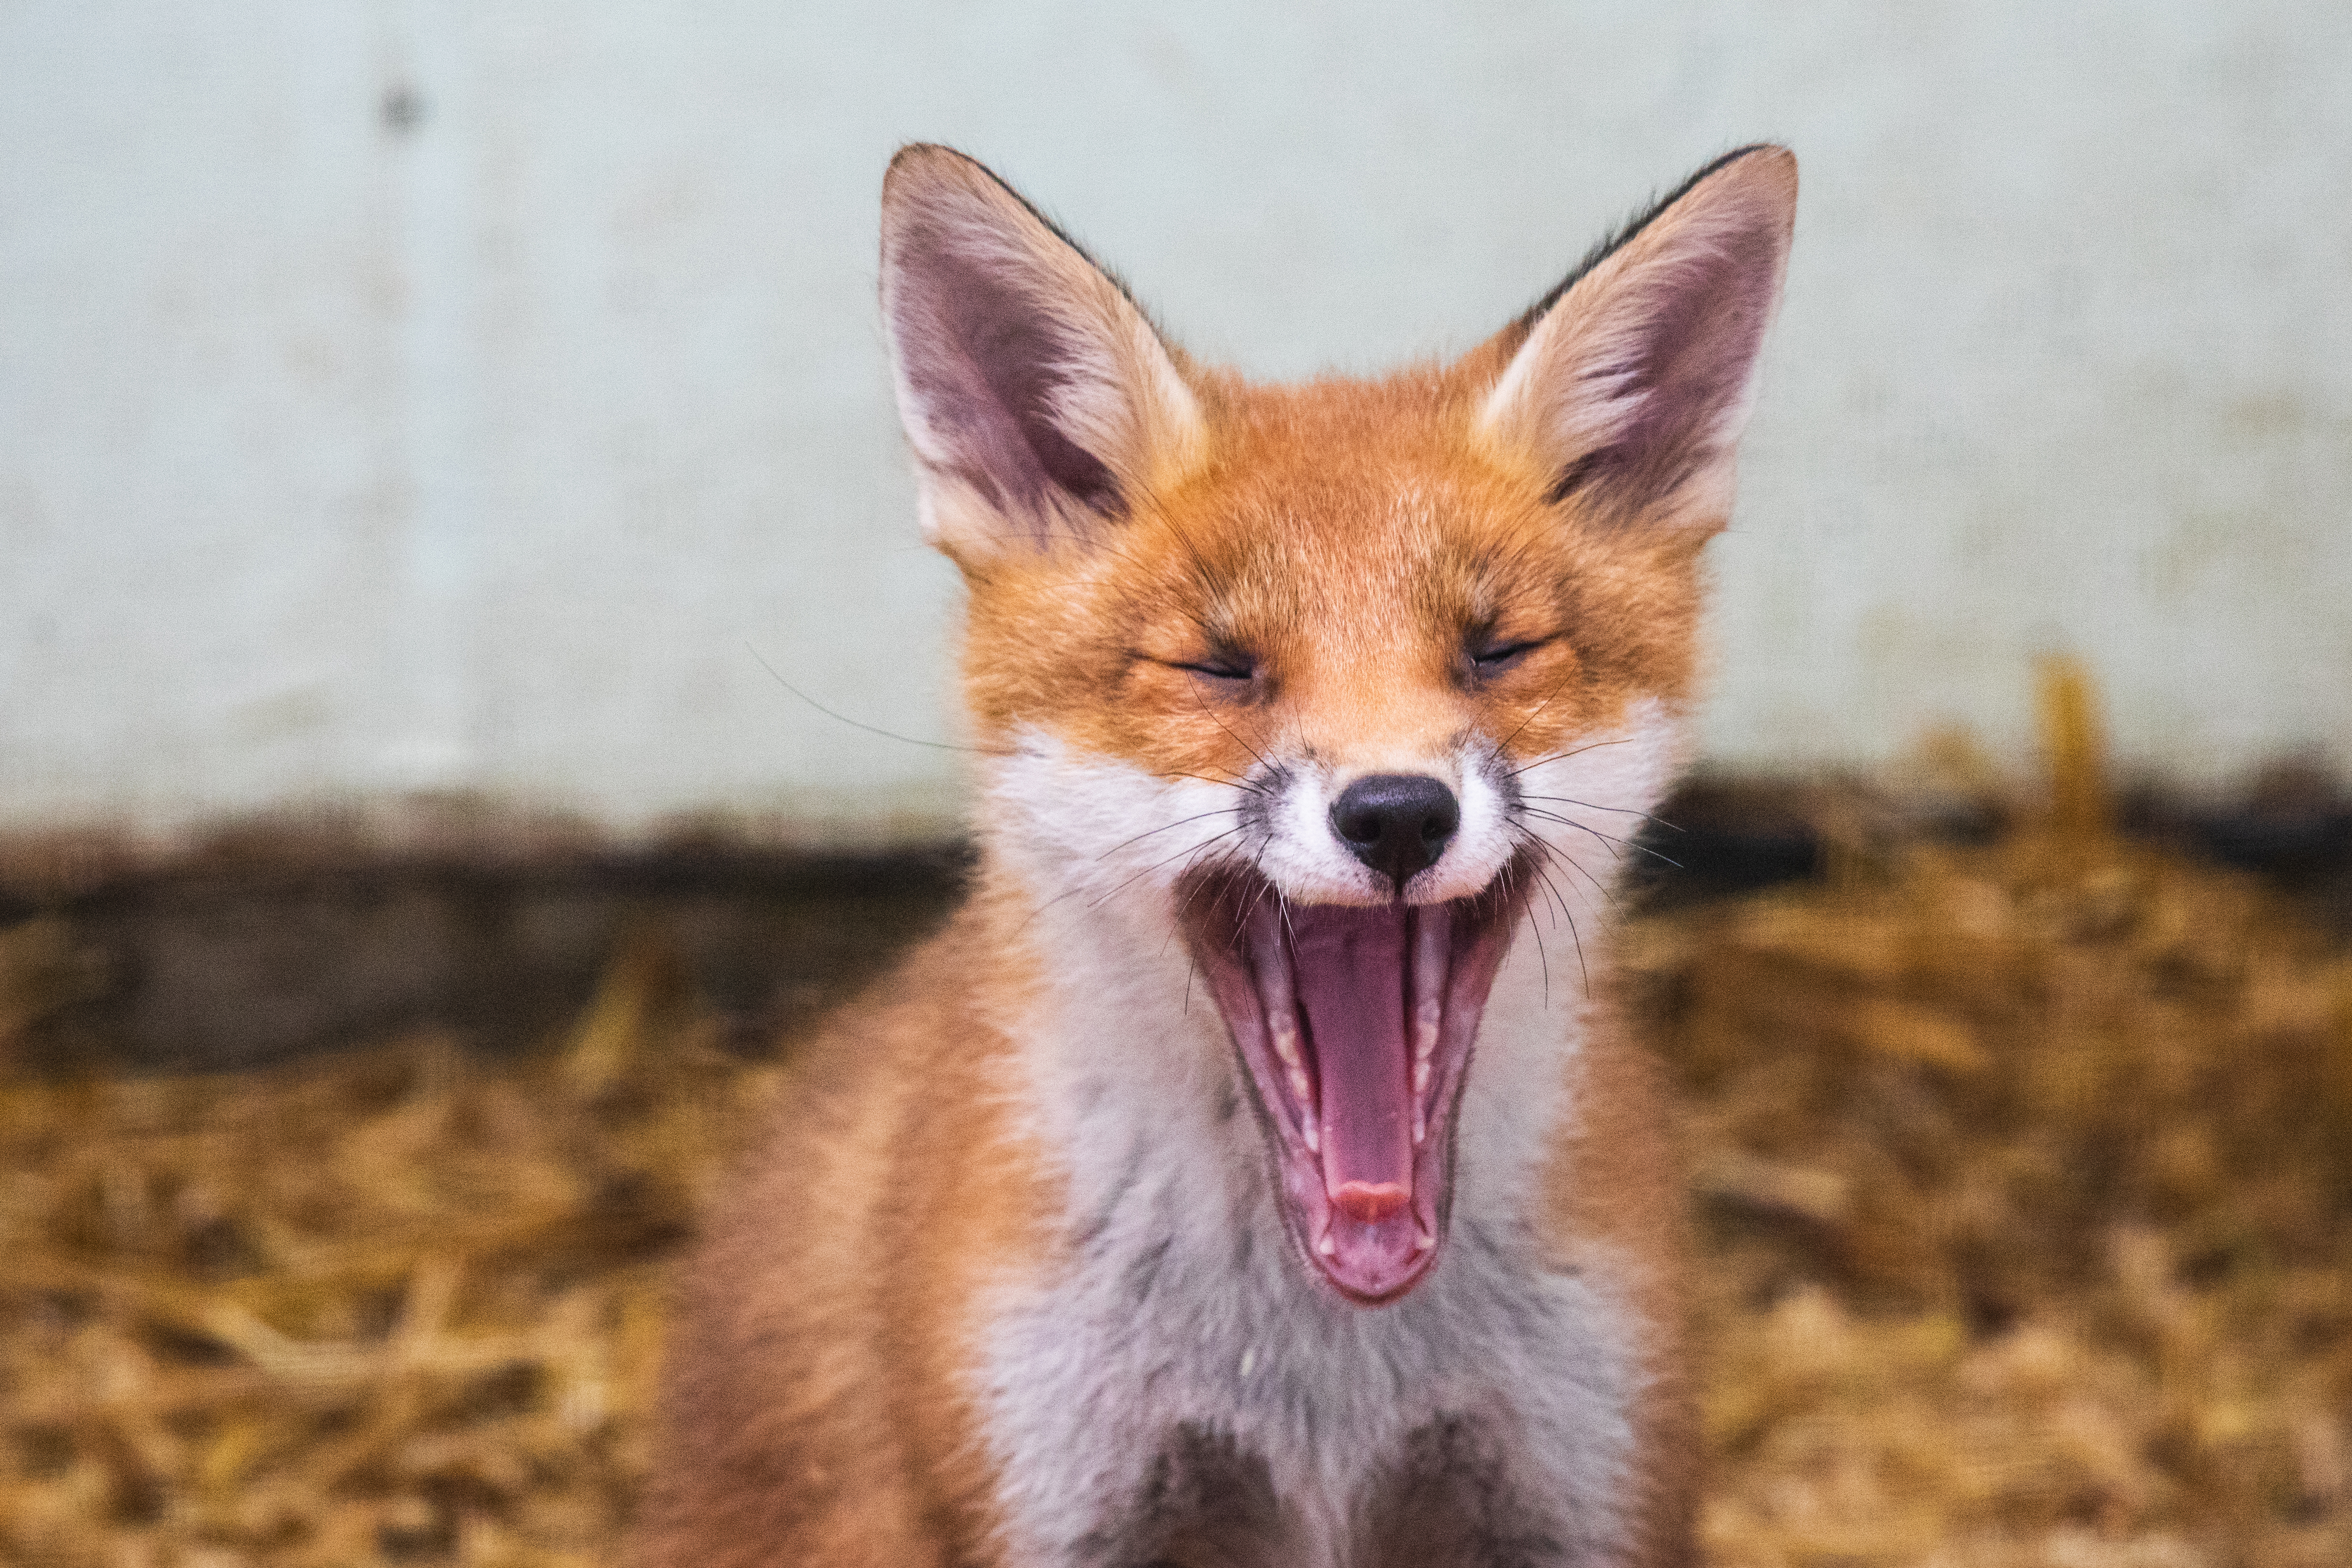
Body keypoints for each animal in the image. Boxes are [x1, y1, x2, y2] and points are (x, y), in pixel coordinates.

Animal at [644, 141, 1797, 1561]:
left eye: (1496, 649)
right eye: (1217, 666)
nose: (1397, 812)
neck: (1320, 1372)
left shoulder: (1572, 1495)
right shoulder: (1059, 1499)